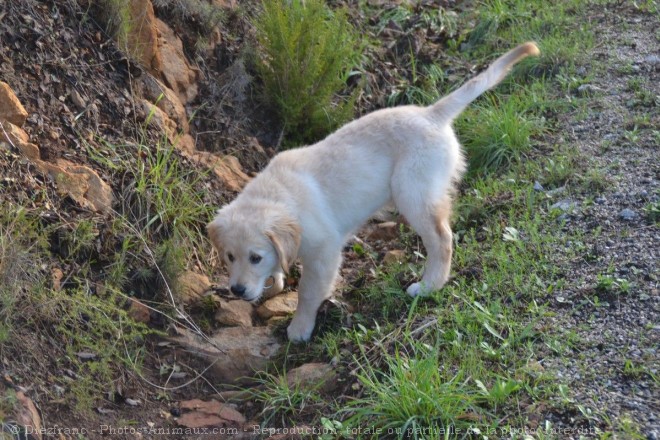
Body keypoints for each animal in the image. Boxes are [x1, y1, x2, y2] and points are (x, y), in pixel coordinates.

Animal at [209, 43, 540, 342]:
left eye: (255, 257)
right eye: (230, 256)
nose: (236, 290)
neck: (276, 196)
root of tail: (430, 114)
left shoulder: (324, 251)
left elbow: (308, 292)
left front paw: (299, 328)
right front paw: (274, 284)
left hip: (413, 192)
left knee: (442, 239)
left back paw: (429, 285)